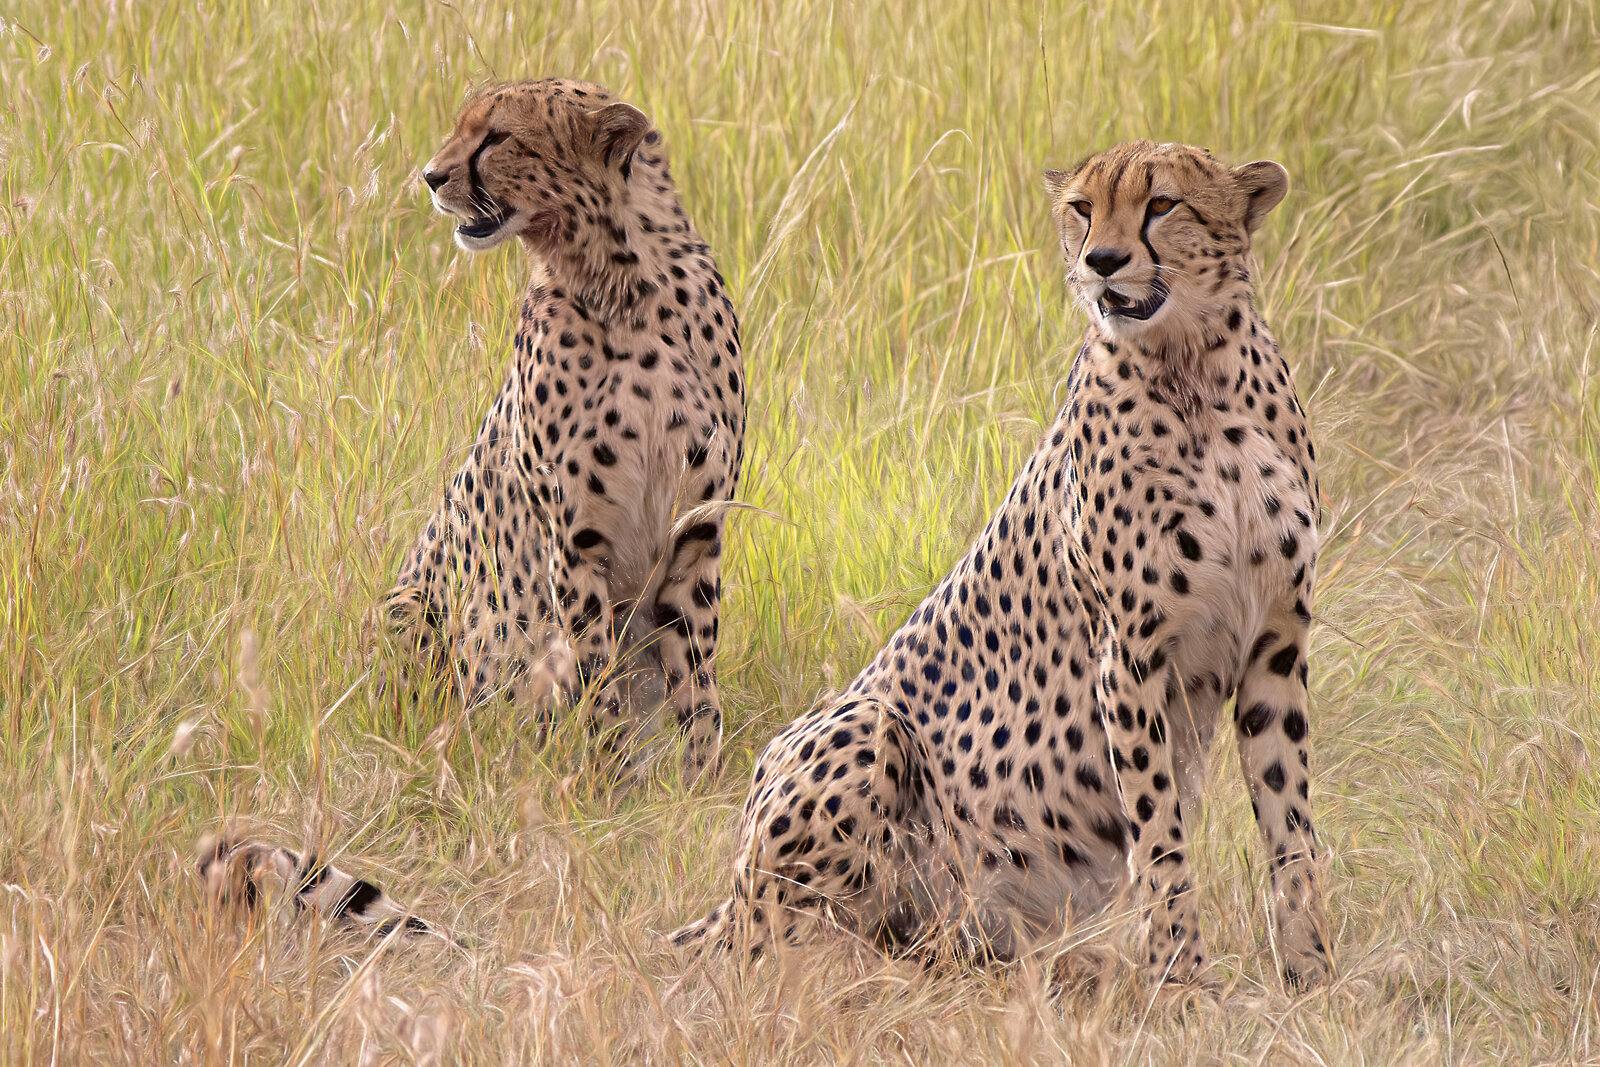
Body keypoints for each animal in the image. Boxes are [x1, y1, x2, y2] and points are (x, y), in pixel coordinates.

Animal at [381, 77, 745, 773]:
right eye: (464, 126)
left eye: (498, 136)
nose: (431, 176)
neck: (625, 285)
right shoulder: (575, 542)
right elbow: (596, 674)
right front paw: (610, 775)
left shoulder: (696, 530)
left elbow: (696, 673)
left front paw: (701, 779)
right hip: (408, 607)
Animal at [668, 140, 1334, 993]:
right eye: (1083, 208)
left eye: (1162, 204)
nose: (1101, 262)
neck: (1195, 370)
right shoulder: (1130, 655)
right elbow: (1159, 833)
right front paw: (1182, 978)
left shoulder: (1275, 644)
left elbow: (1290, 823)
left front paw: (1311, 973)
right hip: (864, 728)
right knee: (776, 945)